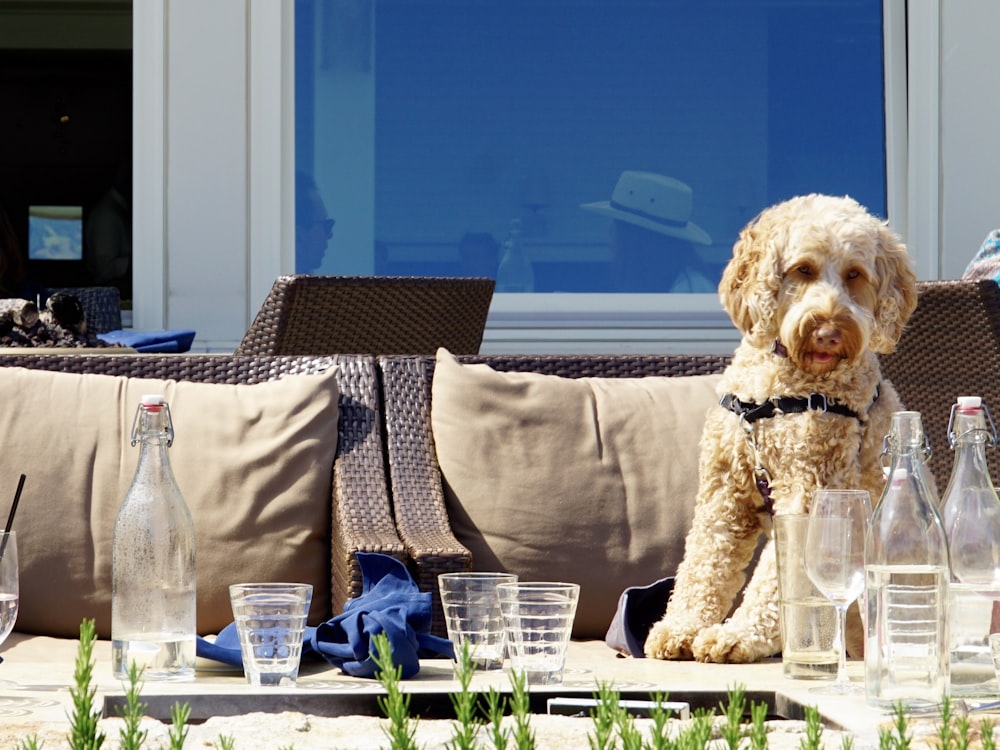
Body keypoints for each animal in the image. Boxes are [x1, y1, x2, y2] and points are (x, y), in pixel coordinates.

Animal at [644, 192, 916, 664]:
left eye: (854, 274)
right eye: (803, 269)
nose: (829, 331)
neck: (782, 385)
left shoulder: (806, 488)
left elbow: (776, 581)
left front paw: (738, 635)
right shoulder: (724, 493)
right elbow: (703, 564)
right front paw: (680, 626)